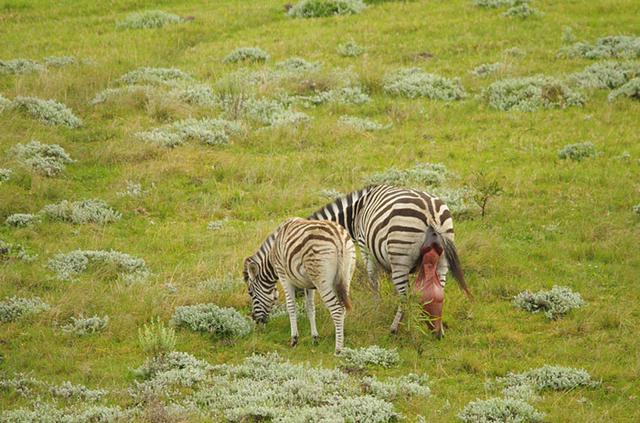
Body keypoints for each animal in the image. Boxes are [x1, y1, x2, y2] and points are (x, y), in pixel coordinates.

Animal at [244, 217, 356, 352]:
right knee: (343, 307)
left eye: (251, 293)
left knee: (337, 310)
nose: (255, 320)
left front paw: (294, 339)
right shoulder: (309, 285)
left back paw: (338, 349)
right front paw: (315, 338)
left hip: (322, 280)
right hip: (346, 275)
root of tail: (338, 236)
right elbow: (310, 308)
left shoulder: (284, 276)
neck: (273, 254)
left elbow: (291, 307)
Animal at [308, 184, 472, 336]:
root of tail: (430, 211)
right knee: (438, 291)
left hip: (400, 255)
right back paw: (437, 329)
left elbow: (374, 281)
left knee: (405, 296)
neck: (355, 214)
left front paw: (376, 309)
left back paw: (396, 328)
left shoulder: (365, 247)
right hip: (442, 259)